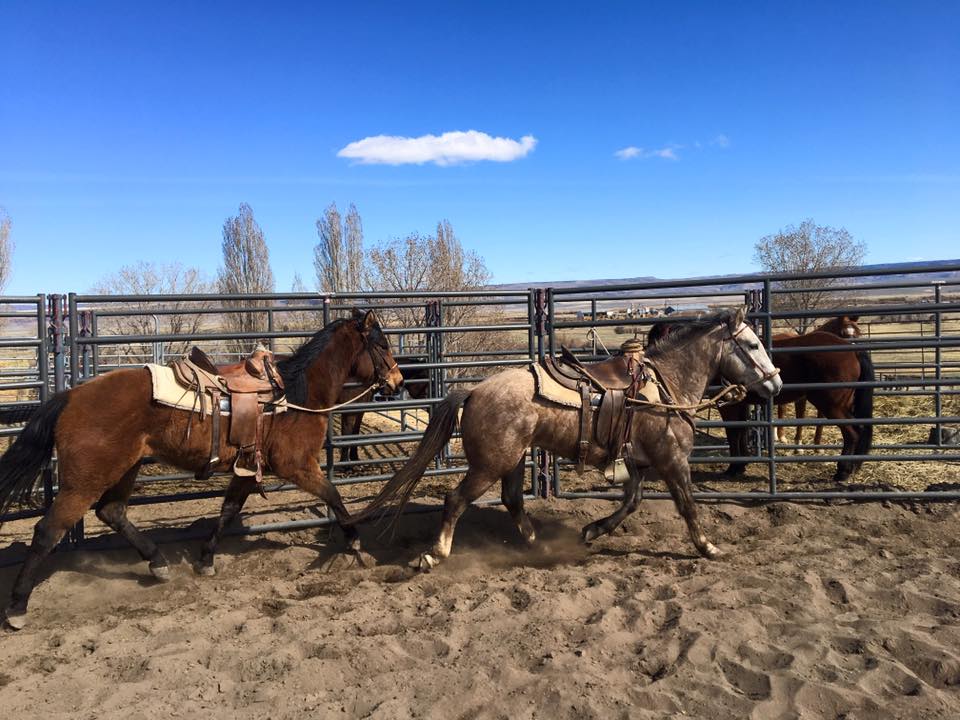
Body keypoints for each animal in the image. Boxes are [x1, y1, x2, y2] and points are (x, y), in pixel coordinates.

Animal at [0, 312, 404, 628]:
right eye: (383, 345)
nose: (398, 382)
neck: (296, 395)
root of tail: (70, 396)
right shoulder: (298, 466)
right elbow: (333, 495)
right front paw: (354, 540)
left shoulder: (246, 470)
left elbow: (228, 512)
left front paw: (206, 559)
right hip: (84, 482)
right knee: (48, 531)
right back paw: (17, 606)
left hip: (125, 468)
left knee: (112, 512)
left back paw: (158, 563)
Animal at [348, 306, 784, 572]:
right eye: (752, 344)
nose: (775, 383)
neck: (665, 388)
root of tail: (473, 391)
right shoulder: (673, 462)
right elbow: (689, 506)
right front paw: (708, 547)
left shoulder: (639, 463)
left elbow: (632, 503)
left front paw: (593, 530)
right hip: (490, 464)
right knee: (456, 500)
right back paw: (435, 555)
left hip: (512, 460)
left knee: (512, 500)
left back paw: (536, 544)